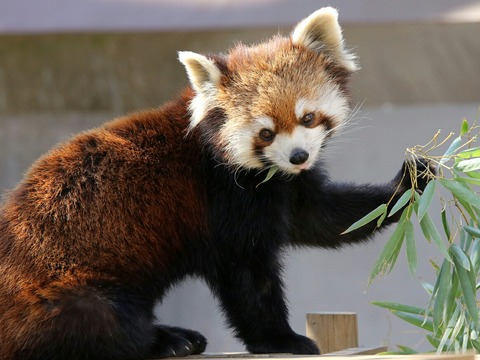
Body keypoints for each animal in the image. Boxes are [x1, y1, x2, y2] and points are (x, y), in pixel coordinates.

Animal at [0, 8, 432, 360]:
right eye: (265, 133)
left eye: (307, 118)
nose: (298, 156)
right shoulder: (225, 195)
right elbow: (247, 273)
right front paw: (281, 339)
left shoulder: (282, 186)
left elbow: (324, 218)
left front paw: (412, 180)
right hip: (65, 287)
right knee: (101, 324)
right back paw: (170, 340)